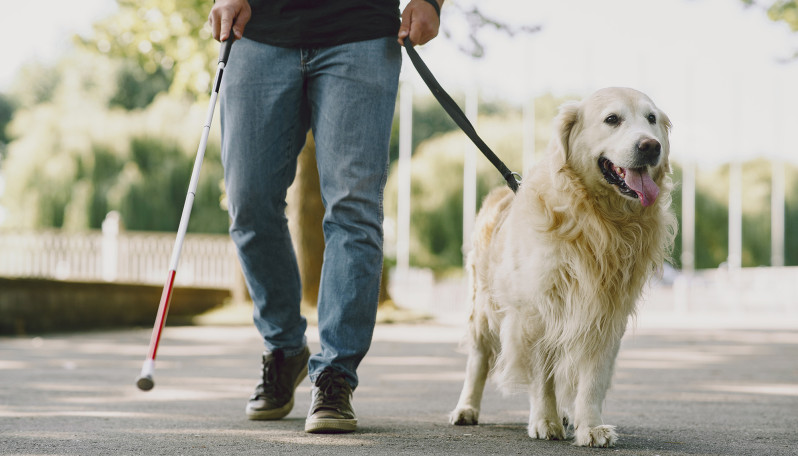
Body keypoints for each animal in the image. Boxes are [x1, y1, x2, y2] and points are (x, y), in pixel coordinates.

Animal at [454, 87, 680, 448]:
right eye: (612, 119)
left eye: (651, 119)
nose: (651, 146)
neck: (597, 219)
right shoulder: (535, 312)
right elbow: (541, 376)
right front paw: (544, 420)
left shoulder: (605, 313)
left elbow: (592, 378)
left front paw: (590, 426)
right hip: (483, 308)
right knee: (477, 359)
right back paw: (466, 409)